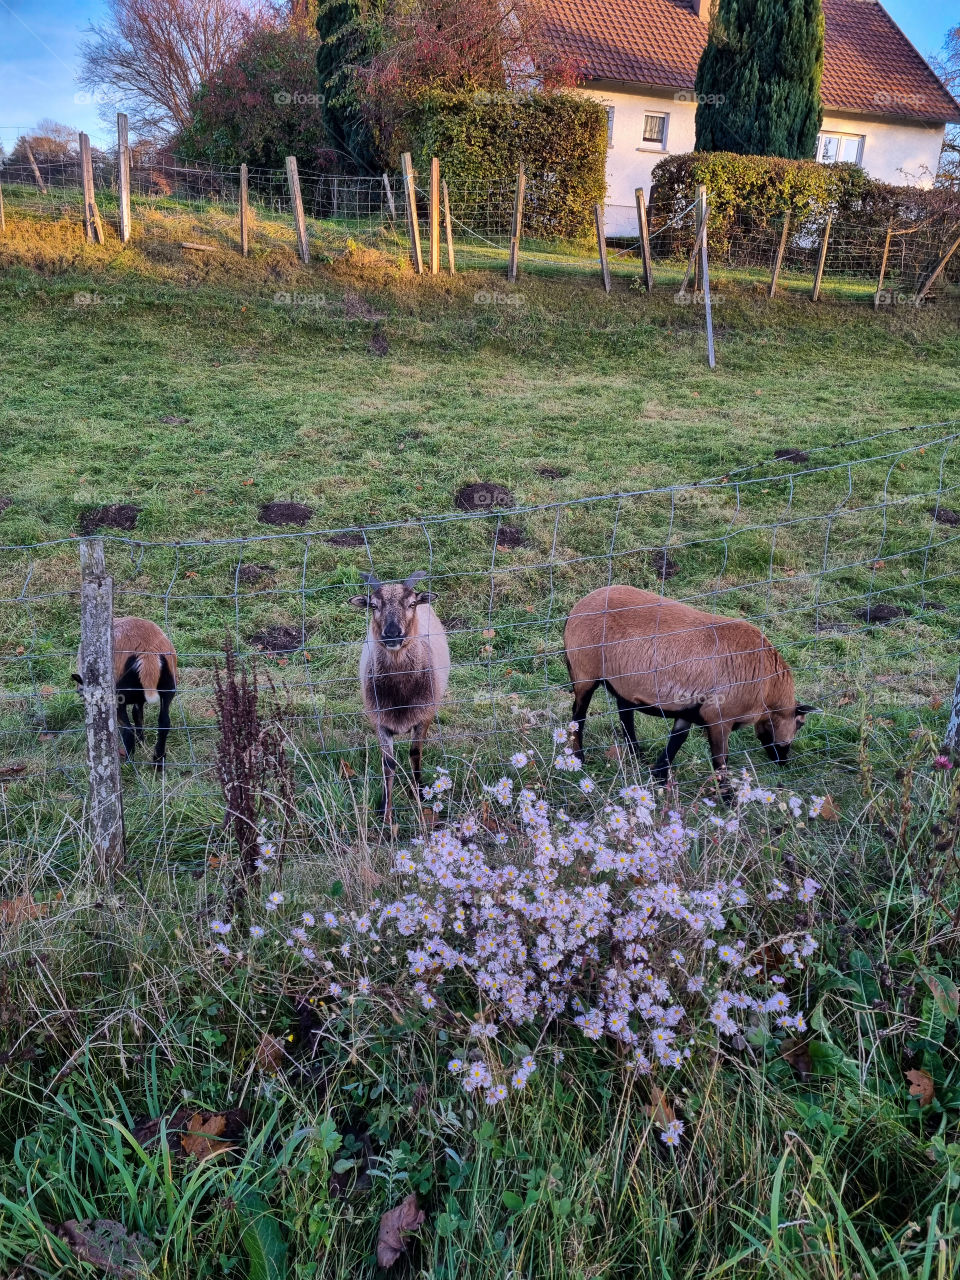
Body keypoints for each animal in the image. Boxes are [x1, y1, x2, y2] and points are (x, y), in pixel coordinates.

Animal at [72, 616, 178, 766]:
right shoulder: (139, 699)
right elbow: (137, 715)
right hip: (169, 688)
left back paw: (128, 763)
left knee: (127, 730)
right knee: (164, 723)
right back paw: (158, 761)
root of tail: (148, 654)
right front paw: (142, 743)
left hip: (117, 696)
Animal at [350, 570, 450, 825]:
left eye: (411, 604)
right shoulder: (379, 721)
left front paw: (420, 792)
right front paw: (385, 812)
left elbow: (415, 753)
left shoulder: (424, 716)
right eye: (373, 605)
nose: (392, 635)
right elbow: (388, 764)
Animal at [564, 585, 816, 790]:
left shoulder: (689, 711)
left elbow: (676, 742)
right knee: (579, 715)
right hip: (584, 673)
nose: (783, 761)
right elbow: (720, 761)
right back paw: (579, 758)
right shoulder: (719, 717)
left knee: (625, 717)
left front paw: (660, 778)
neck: (768, 688)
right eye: (800, 724)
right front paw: (728, 800)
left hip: (624, 682)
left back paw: (638, 756)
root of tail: (576, 609)